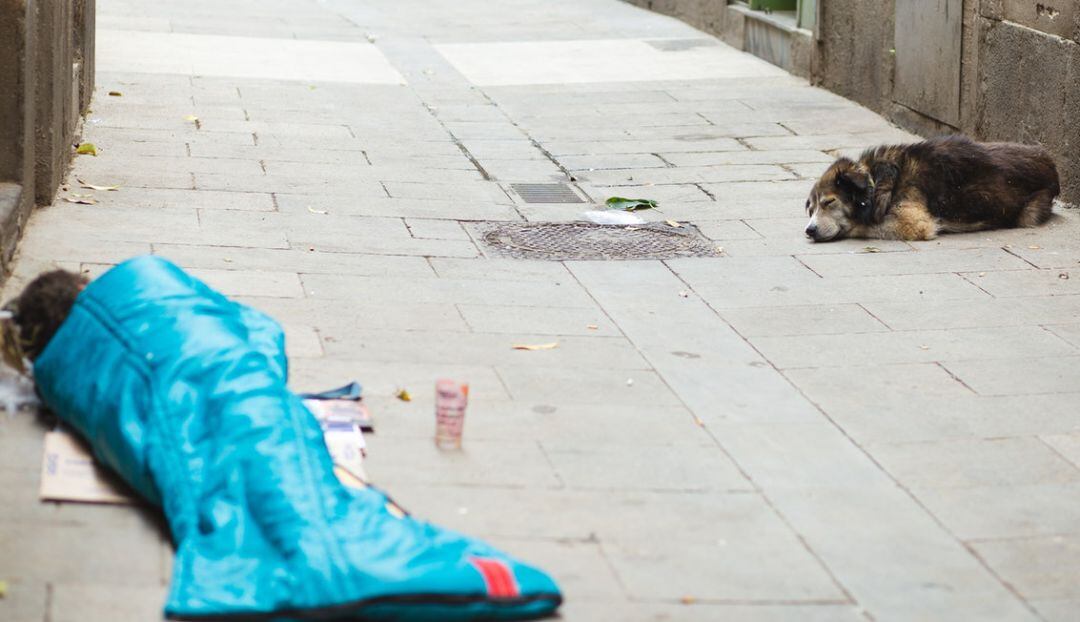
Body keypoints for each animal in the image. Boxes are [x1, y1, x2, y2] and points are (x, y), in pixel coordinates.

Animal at [807, 134, 1058, 241]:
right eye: (810, 210)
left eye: (829, 202)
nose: (809, 230)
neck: (876, 182)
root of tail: (1049, 162)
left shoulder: (912, 222)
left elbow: (861, 225)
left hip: (1029, 211)